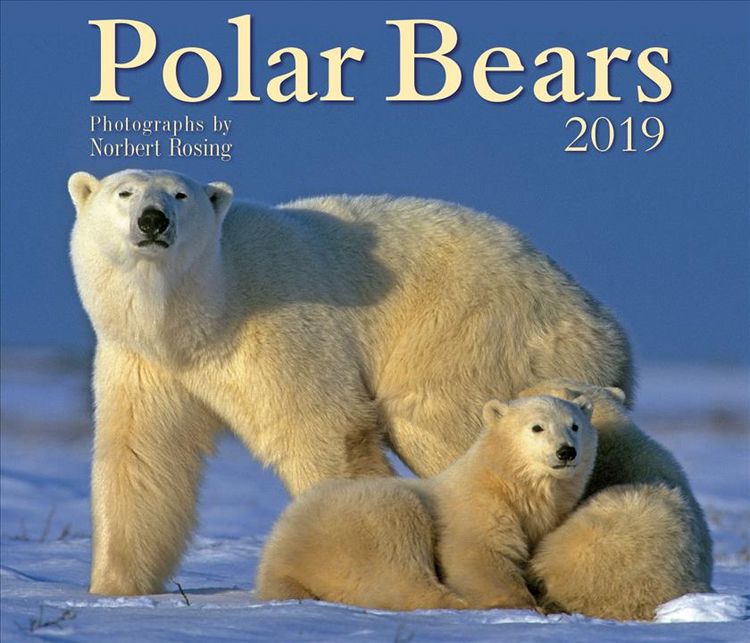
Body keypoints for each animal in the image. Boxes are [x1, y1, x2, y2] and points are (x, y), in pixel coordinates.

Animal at [256, 395, 598, 611]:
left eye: (575, 425)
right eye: (537, 427)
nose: (566, 451)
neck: (508, 482)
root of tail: (277, 558)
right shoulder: (476, 507)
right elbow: (476, 554)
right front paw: (522, 604)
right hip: (361, 522)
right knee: (397, 565)